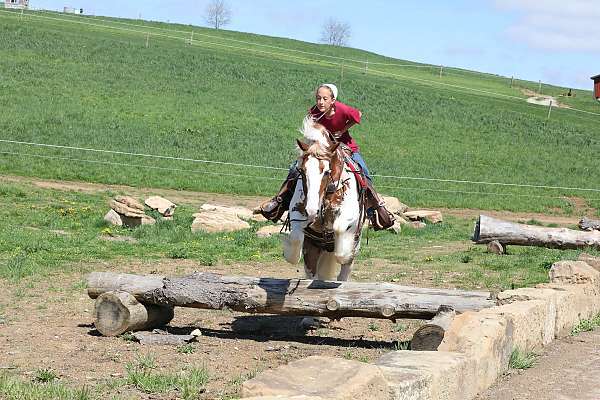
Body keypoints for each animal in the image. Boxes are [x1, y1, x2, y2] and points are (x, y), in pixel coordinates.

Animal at [282, 115, 366, 282]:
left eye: (327, 172)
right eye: (302, 171)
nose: (311, 210)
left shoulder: (350, 215)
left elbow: (339, 231)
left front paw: (345, 252)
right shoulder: (297, 213)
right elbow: (295, 238)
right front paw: (288, 252)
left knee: (344, 272)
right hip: (313, 250)